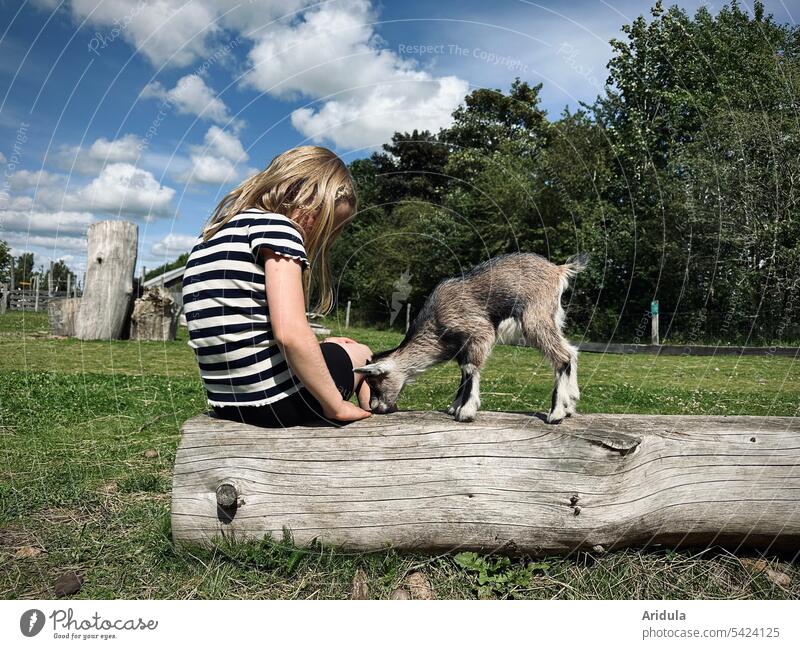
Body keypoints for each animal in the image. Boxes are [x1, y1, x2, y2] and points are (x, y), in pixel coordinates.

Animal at [356, 253, 588, 426]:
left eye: (375, 383)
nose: (377, 408)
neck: (436, 324)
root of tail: (558, 270)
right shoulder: (462, 346)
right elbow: (463, 371)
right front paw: (455, 406)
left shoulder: (479, 332)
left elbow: (470, 368)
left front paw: (466, 411)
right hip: (552, 317)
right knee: (571, 351)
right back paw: (570, 403)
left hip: (534, 317)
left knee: (562, 356)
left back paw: (556, 413)